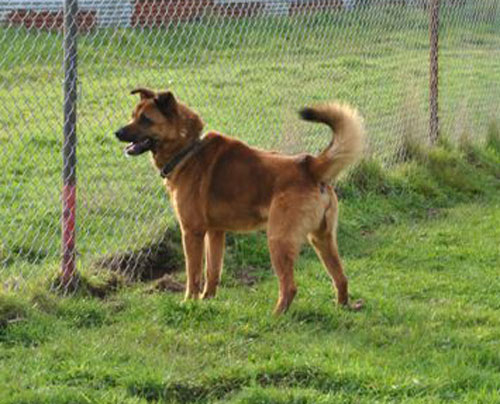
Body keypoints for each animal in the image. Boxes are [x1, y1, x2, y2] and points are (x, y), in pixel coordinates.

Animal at [115, 88, 366, 314]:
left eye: (145, 119)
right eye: (132, 115)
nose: (117, 133)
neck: (188, 149)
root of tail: (310, 165)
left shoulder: (192, 232)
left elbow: (193, 275)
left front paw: (189, 303)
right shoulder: (215, 232)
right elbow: (212, 272)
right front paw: (207, 300)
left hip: (278, 240)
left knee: (290, 287)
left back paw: (276, 316)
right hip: (322, 239)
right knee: (341, 278)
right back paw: (344, 306)